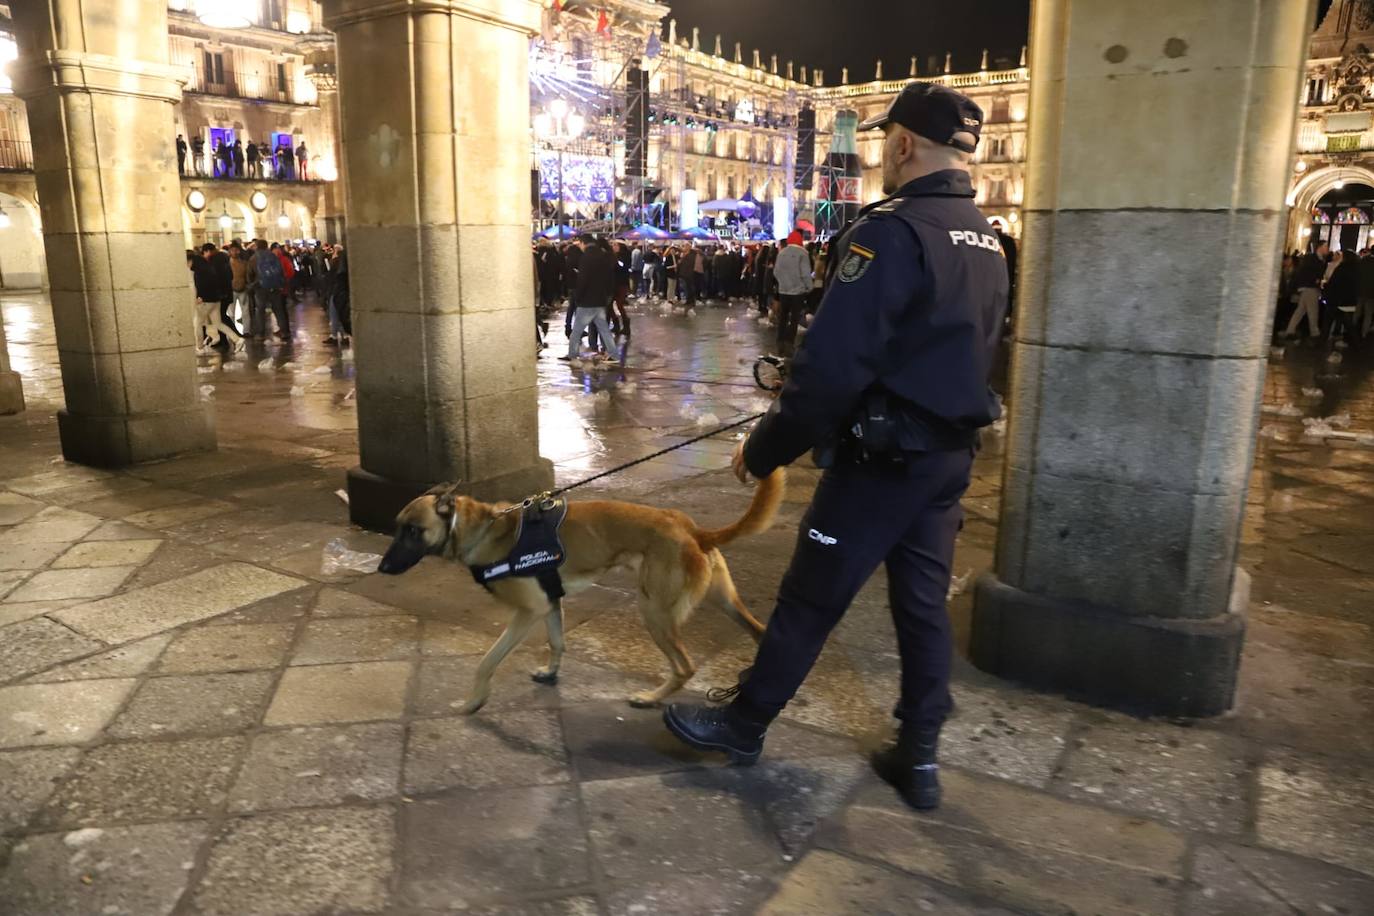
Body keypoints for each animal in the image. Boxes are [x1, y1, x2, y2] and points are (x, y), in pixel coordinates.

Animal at [376, 472, 785, 714]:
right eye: (397, 527)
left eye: (413, 530)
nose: (381, 568)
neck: (481, 530)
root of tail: (695, 531)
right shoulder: (550, 603)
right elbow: (557, 642)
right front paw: (550, 673)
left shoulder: (528, 612)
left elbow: (487, 661)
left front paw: (473, 701)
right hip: (723, 601)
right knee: (759, 631)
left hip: (654, 612)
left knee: (685, 666)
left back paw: (651, 698)